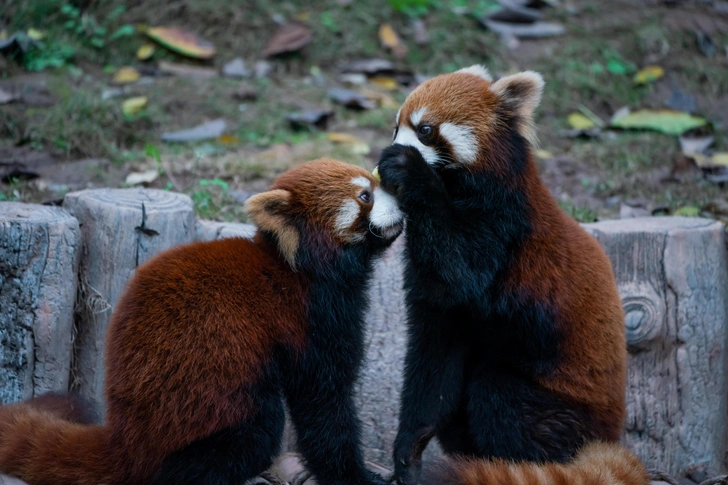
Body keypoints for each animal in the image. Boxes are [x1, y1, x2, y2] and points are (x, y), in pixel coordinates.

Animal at [0, 159, 404, 484]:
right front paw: (355, 476)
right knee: (252, 433)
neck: (303, 267)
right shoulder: (313, 318)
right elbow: (324, 405)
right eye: (365, 196)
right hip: (210, 393)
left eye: (376, 180)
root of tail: (126, 438)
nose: (403, 199)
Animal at [376, 65, 648, 484]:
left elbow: (461, 268)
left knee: (498, 393)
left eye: (425, 130)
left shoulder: (503, 225)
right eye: (394, 127)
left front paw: (409, 171)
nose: (385, 155)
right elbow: (432, 367)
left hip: (561, 401)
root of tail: (607, 436)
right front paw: (408, 453)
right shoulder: (441, 304)